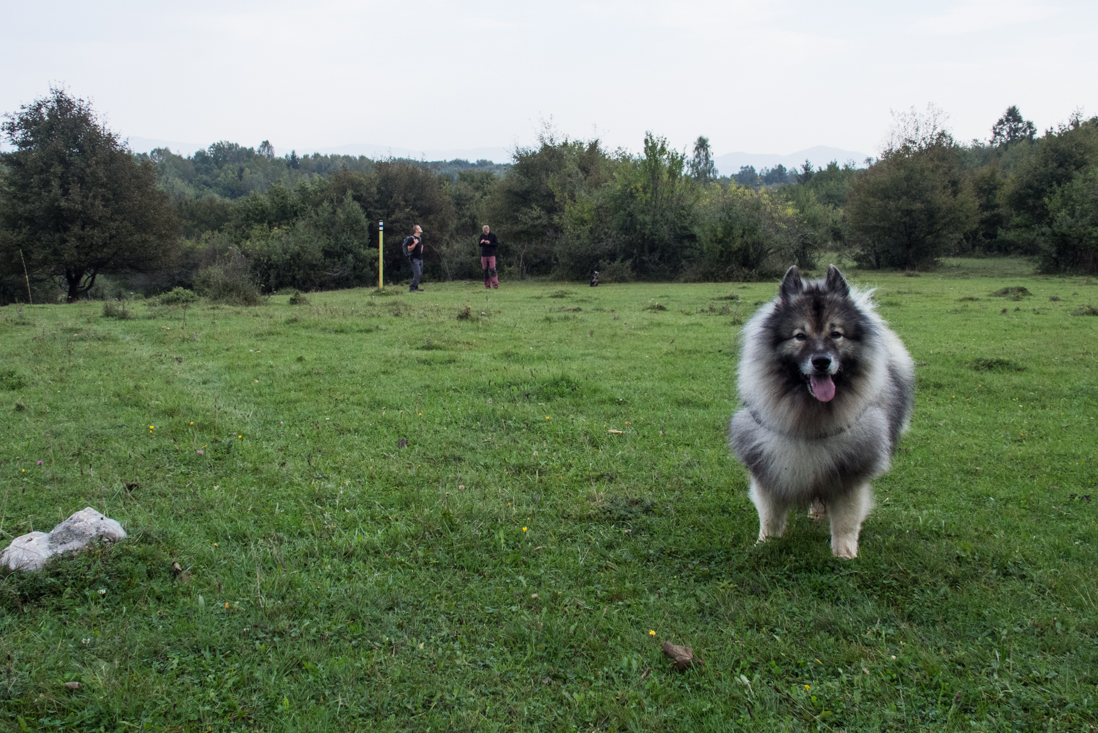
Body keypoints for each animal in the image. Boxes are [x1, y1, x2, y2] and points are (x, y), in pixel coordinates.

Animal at [729, 266, 917, 557]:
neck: (809, 414)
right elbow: (770, 514)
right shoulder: (767, 460)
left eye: (836, 334)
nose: (821, 361)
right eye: (800, 336)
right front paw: (764, 544)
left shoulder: (851, 468)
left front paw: (845, 554)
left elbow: (846, 519)